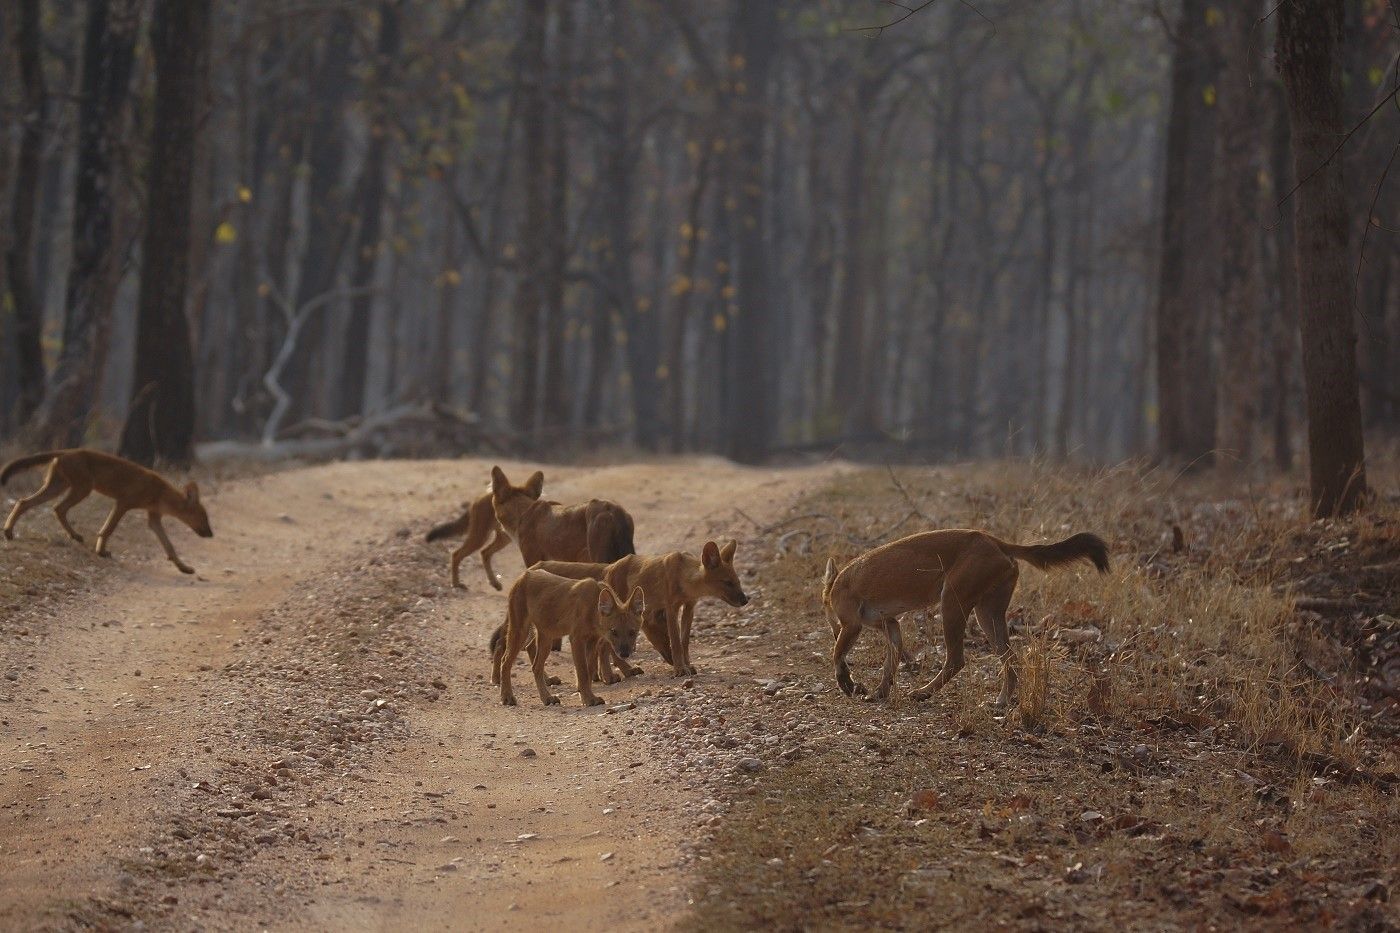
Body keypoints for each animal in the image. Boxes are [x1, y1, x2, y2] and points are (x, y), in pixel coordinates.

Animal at [2, 445, 212, 571]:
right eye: (204, 517)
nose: (211, 534)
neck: (162, 493)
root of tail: (65, 451)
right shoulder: (123, 503)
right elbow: (108, 529)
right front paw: (101, 551)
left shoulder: (154, 517)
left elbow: (168, 545)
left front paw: (184, 567)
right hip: (82, 488)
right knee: (57, 507)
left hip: (58, 486)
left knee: (26, 502)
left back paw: (9, 532)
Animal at [495, 565, 641, 706]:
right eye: (614, 631)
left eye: (632, 632)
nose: (624, 653)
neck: (593, 607)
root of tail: (524, 574)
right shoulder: (577, 639)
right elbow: (582, 671)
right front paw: (589, 699)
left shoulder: (592, 640)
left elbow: (588, 670)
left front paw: (584, 694)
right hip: (520, 631)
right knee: (506, 661)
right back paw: (507, 697)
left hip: (547, 635)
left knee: (535, 662)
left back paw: (547, 696)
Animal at [817, 526, 1103, 700]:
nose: (831, 631)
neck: (836, 585)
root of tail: (997, 541)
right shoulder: (891, 624)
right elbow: (890, 663)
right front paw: (878, 692)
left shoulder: (851, 625)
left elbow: (836, 654)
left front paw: (847, 683)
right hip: (988, 614)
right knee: (1011, 658)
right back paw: (1002, 701)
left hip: (952, 603)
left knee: (956, 660)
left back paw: (923, 692)